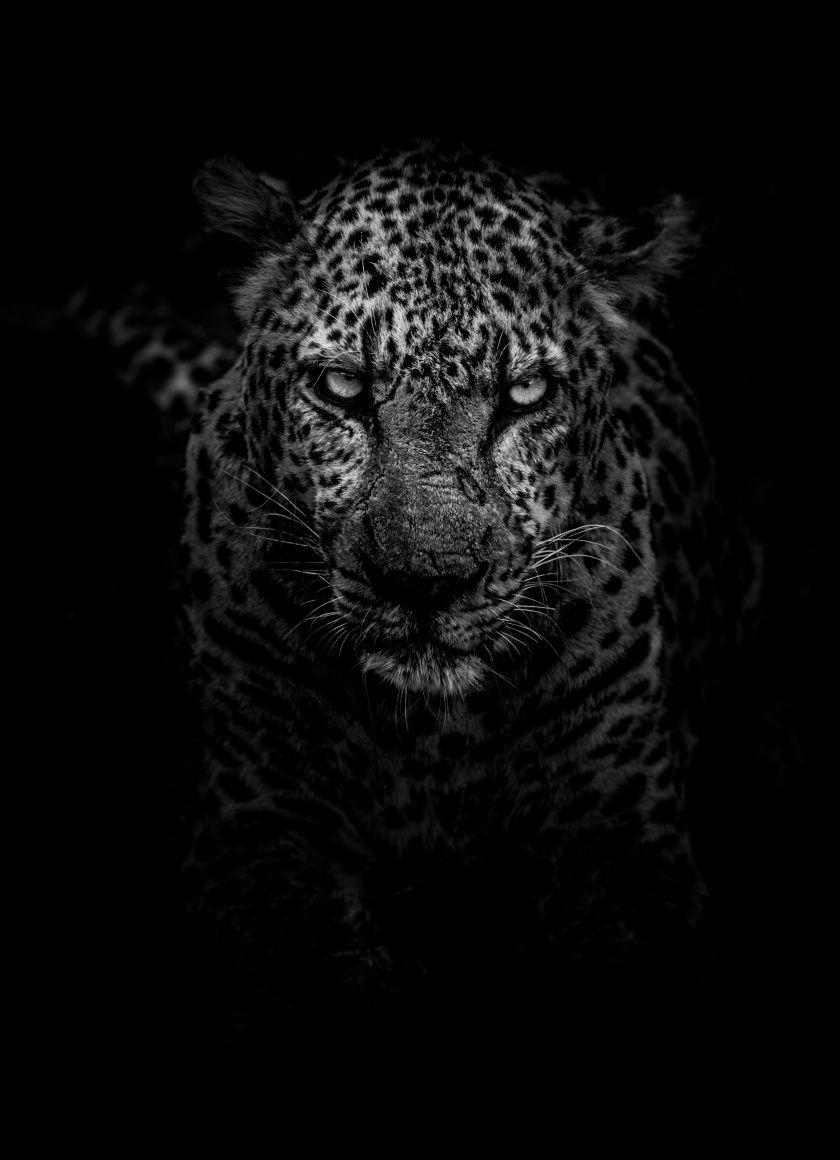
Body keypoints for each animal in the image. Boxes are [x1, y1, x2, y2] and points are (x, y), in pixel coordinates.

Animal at [93, 141, 762, 1055]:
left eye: (524, 396)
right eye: (342, 388)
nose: (424, 581)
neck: (431, 738)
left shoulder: (625, 844)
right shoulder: (255, 830)